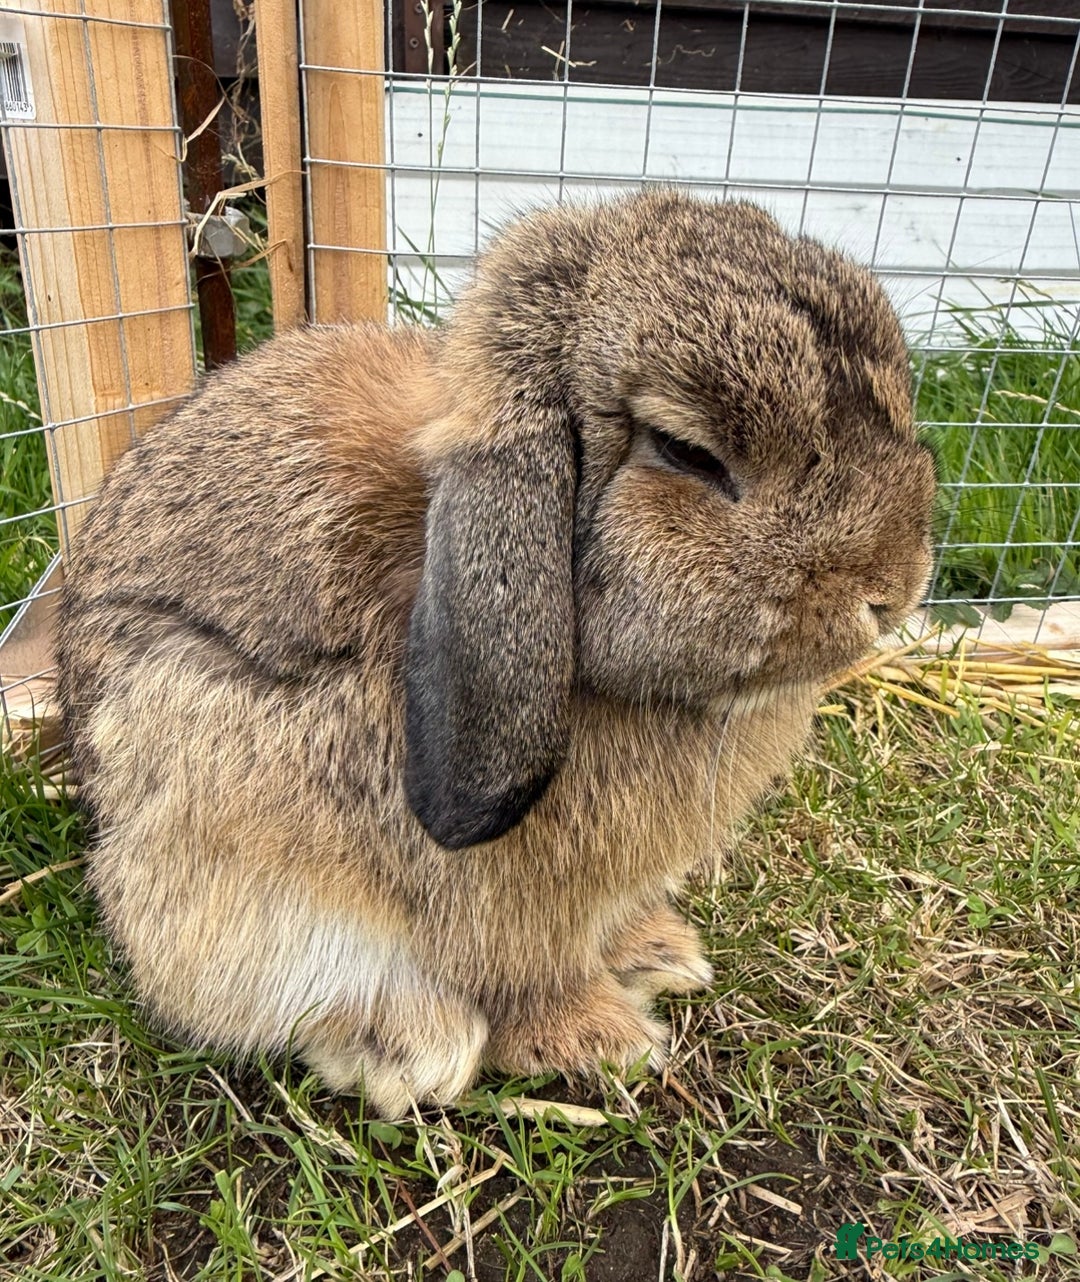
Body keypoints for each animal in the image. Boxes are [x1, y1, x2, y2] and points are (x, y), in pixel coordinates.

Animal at [55, 190, 937, 1118]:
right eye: (687, 452)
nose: (892, 590)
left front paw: (659, 956)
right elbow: (520, 977)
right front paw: (598, 1039)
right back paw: (412, 1045)